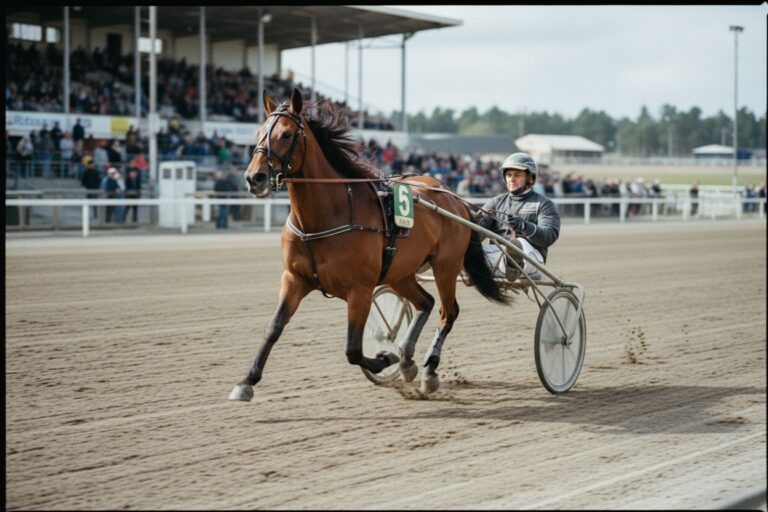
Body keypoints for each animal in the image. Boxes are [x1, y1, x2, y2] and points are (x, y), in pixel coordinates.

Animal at [228, 87, 511, 402]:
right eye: (258, 133)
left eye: (287, 134)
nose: (254, 178)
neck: (325, 217)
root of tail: (451, 196)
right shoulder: (294, 279)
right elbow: (273, 328)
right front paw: (246, 381)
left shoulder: (360, 290)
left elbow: (352, 349)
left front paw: (385, 358)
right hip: (400, 271)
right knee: (426, 302)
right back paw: (408, 358)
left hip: (446, 266)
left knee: (447, 312)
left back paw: (428, 370)